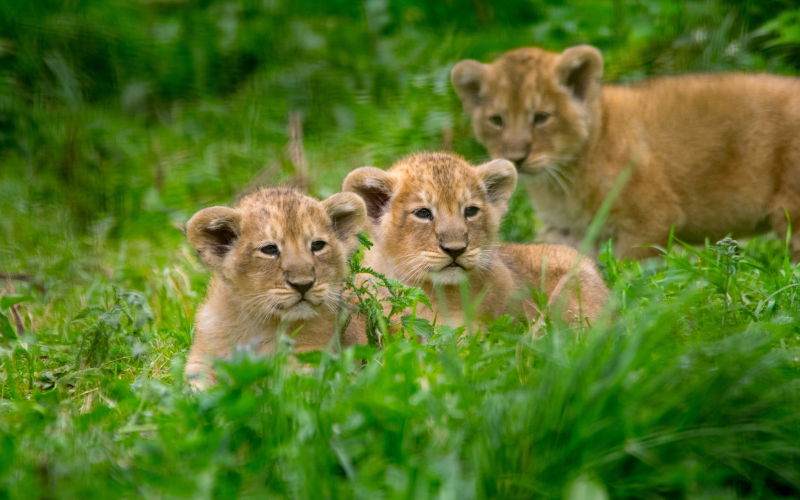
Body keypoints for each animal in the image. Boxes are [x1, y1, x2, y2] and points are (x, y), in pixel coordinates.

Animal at [183, 188, 367, 388]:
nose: (303, 284)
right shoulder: (200, 361)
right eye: (269, 249)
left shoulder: (313, 360)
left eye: (317, 245)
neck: (257, 324)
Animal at [452, 45, 800, 260]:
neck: (560, 182)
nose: (516, 157)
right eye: (496, 120)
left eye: (541, 117)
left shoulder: (651, 221)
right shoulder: (569, 232)